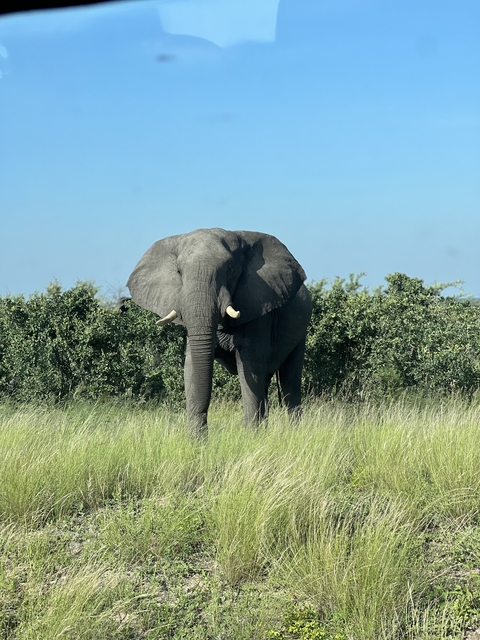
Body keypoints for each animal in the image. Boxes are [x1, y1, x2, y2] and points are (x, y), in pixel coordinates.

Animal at [127, 228, 312, 434]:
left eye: (230, 270)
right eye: (179, 272)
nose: (204, 435)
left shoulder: (259, 306)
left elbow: (250, 365)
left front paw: (250, 436)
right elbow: (191, 368)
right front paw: (196, 439)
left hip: (300, 332)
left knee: (290, 381)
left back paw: (294, 431)